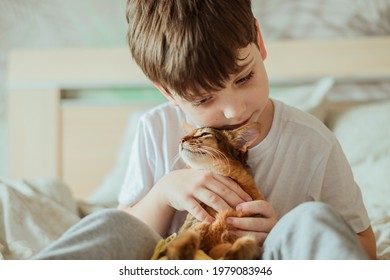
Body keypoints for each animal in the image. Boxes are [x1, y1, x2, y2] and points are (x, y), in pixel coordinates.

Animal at [165, 122, 266, 260]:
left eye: (204, 134)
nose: (181, 139)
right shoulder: (191, 227)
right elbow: (190, 235)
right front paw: (179, 252)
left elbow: (248, 243)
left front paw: (235, 252)